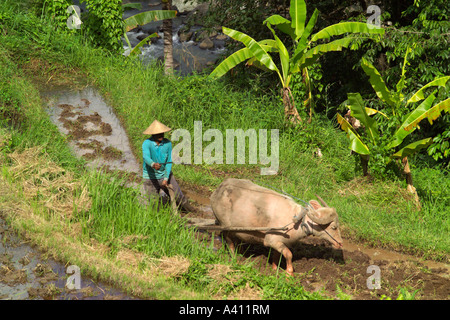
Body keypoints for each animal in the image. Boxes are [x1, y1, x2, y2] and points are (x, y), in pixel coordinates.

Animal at [209, 178, 342, 276]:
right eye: (334, 227)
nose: (340, 243)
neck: (296, 221)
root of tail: (218, 189)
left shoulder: (280, 242)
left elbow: (277, 255)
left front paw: (274, 268)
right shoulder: (271, 240)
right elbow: (289, 254)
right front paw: (289, 272)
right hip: (225, 226)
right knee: (229, 240)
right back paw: (234, 256)